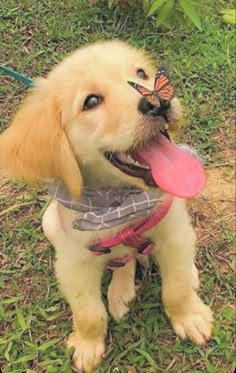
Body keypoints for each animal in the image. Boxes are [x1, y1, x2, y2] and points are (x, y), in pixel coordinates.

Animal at [0, 39, 213, 370]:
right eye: (91, 101)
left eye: (141, 74)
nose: (158, 103)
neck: (119, 204)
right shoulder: (73, 263)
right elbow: (88, 312)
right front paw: (87, 345)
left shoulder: (173, 231)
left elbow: (176, 288)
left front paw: (189, 316)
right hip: (49, 223)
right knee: (123, 260)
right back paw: (120, 291)